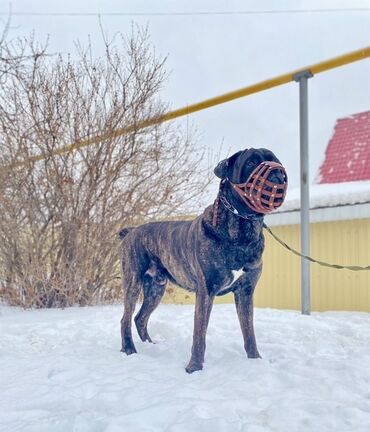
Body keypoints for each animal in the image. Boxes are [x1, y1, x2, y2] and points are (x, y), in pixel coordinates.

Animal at [118, 148, 286, 372]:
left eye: (275, 160)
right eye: (251, 163)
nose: (277, 172)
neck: (242, 231)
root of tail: (131, 231)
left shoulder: (245, 291)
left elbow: (249, 332)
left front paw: (255, 360)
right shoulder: (206, 290)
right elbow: (199, 334)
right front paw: (194, 368)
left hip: (155, 288)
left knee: (140, 317)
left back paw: (151, 346)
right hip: (133, 281)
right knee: (126, 318)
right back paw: (129, 350)